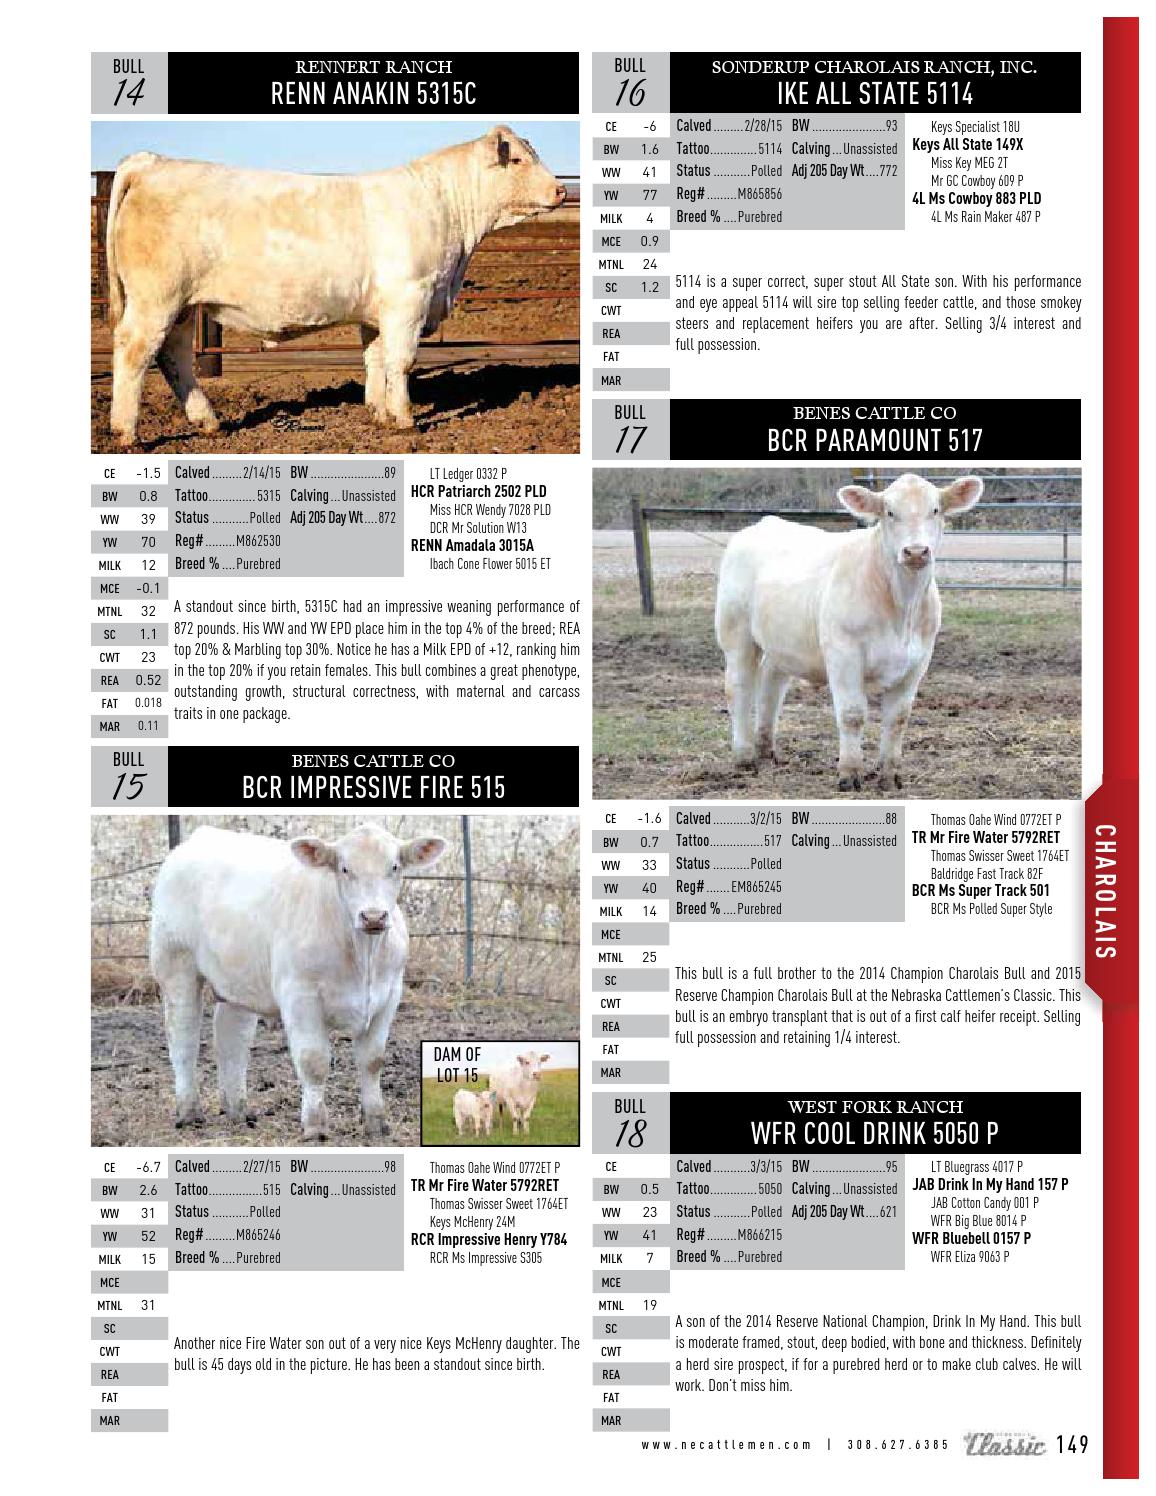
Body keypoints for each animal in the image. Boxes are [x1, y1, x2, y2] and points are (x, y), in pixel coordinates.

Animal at [104, 127, 567, 445]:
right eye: (518, 160)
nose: (562, 190)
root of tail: (152, 162)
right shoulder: (409, 298)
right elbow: (402, 362)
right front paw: (405, 420)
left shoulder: (378, 311)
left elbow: (376, 360)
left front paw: (379, 414)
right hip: (156, 298)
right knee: (135, 351)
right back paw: (127, 433)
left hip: (181, 304)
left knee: (174, 355)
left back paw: (207, 421)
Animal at [149, 823, 446, 1141]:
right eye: (344, 868)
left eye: (394, 866)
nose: (374, 916)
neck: (362, 953)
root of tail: (201, 836)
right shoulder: (300, 996)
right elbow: (313, 1061)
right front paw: (315, 1126)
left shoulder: (389, 995)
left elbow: (372, 1060)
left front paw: (376, 1123)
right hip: (176, 964)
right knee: (183, 1038)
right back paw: (189, 1112)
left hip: (238, 980)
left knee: (232, 1039)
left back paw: (237, 1111)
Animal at [715, 474, 984, 792]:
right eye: (889, 512)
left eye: (935, 510)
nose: (916, 551)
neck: (901, 607)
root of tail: (764, 523)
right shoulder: (844, 653)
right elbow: (853, 714)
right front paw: (850, 773)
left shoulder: (918, 660)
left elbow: (898, 718)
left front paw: (889, 776)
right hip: (736, 632)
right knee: (740, 687)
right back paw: (744, 757)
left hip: (782, 640)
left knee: (771, 684)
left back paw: (766, 751)